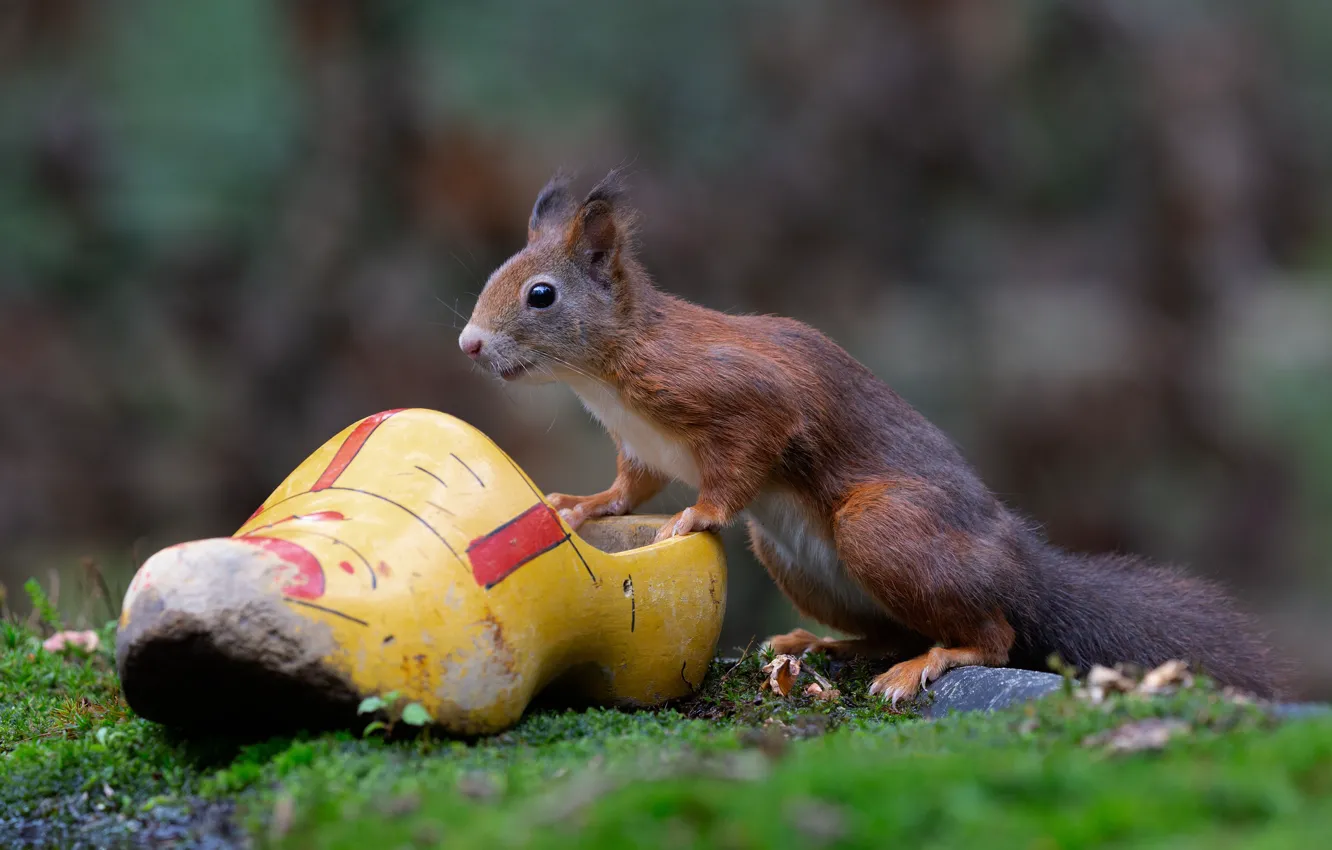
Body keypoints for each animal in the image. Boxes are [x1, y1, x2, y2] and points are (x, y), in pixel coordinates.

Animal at [458, 169, 1278, 703]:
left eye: (540, 295)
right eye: (496, 275)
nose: (468, 346)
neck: (608, 372)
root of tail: (1018, 564)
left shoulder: (739, 396)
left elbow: (737, 467)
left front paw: (694, 517)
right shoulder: (642, 450)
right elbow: (629, 489)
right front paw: (581, 505)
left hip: (885, 527)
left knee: (991, 633)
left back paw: (926, 664)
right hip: (801, 561)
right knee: (893, 629)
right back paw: (819, 645)